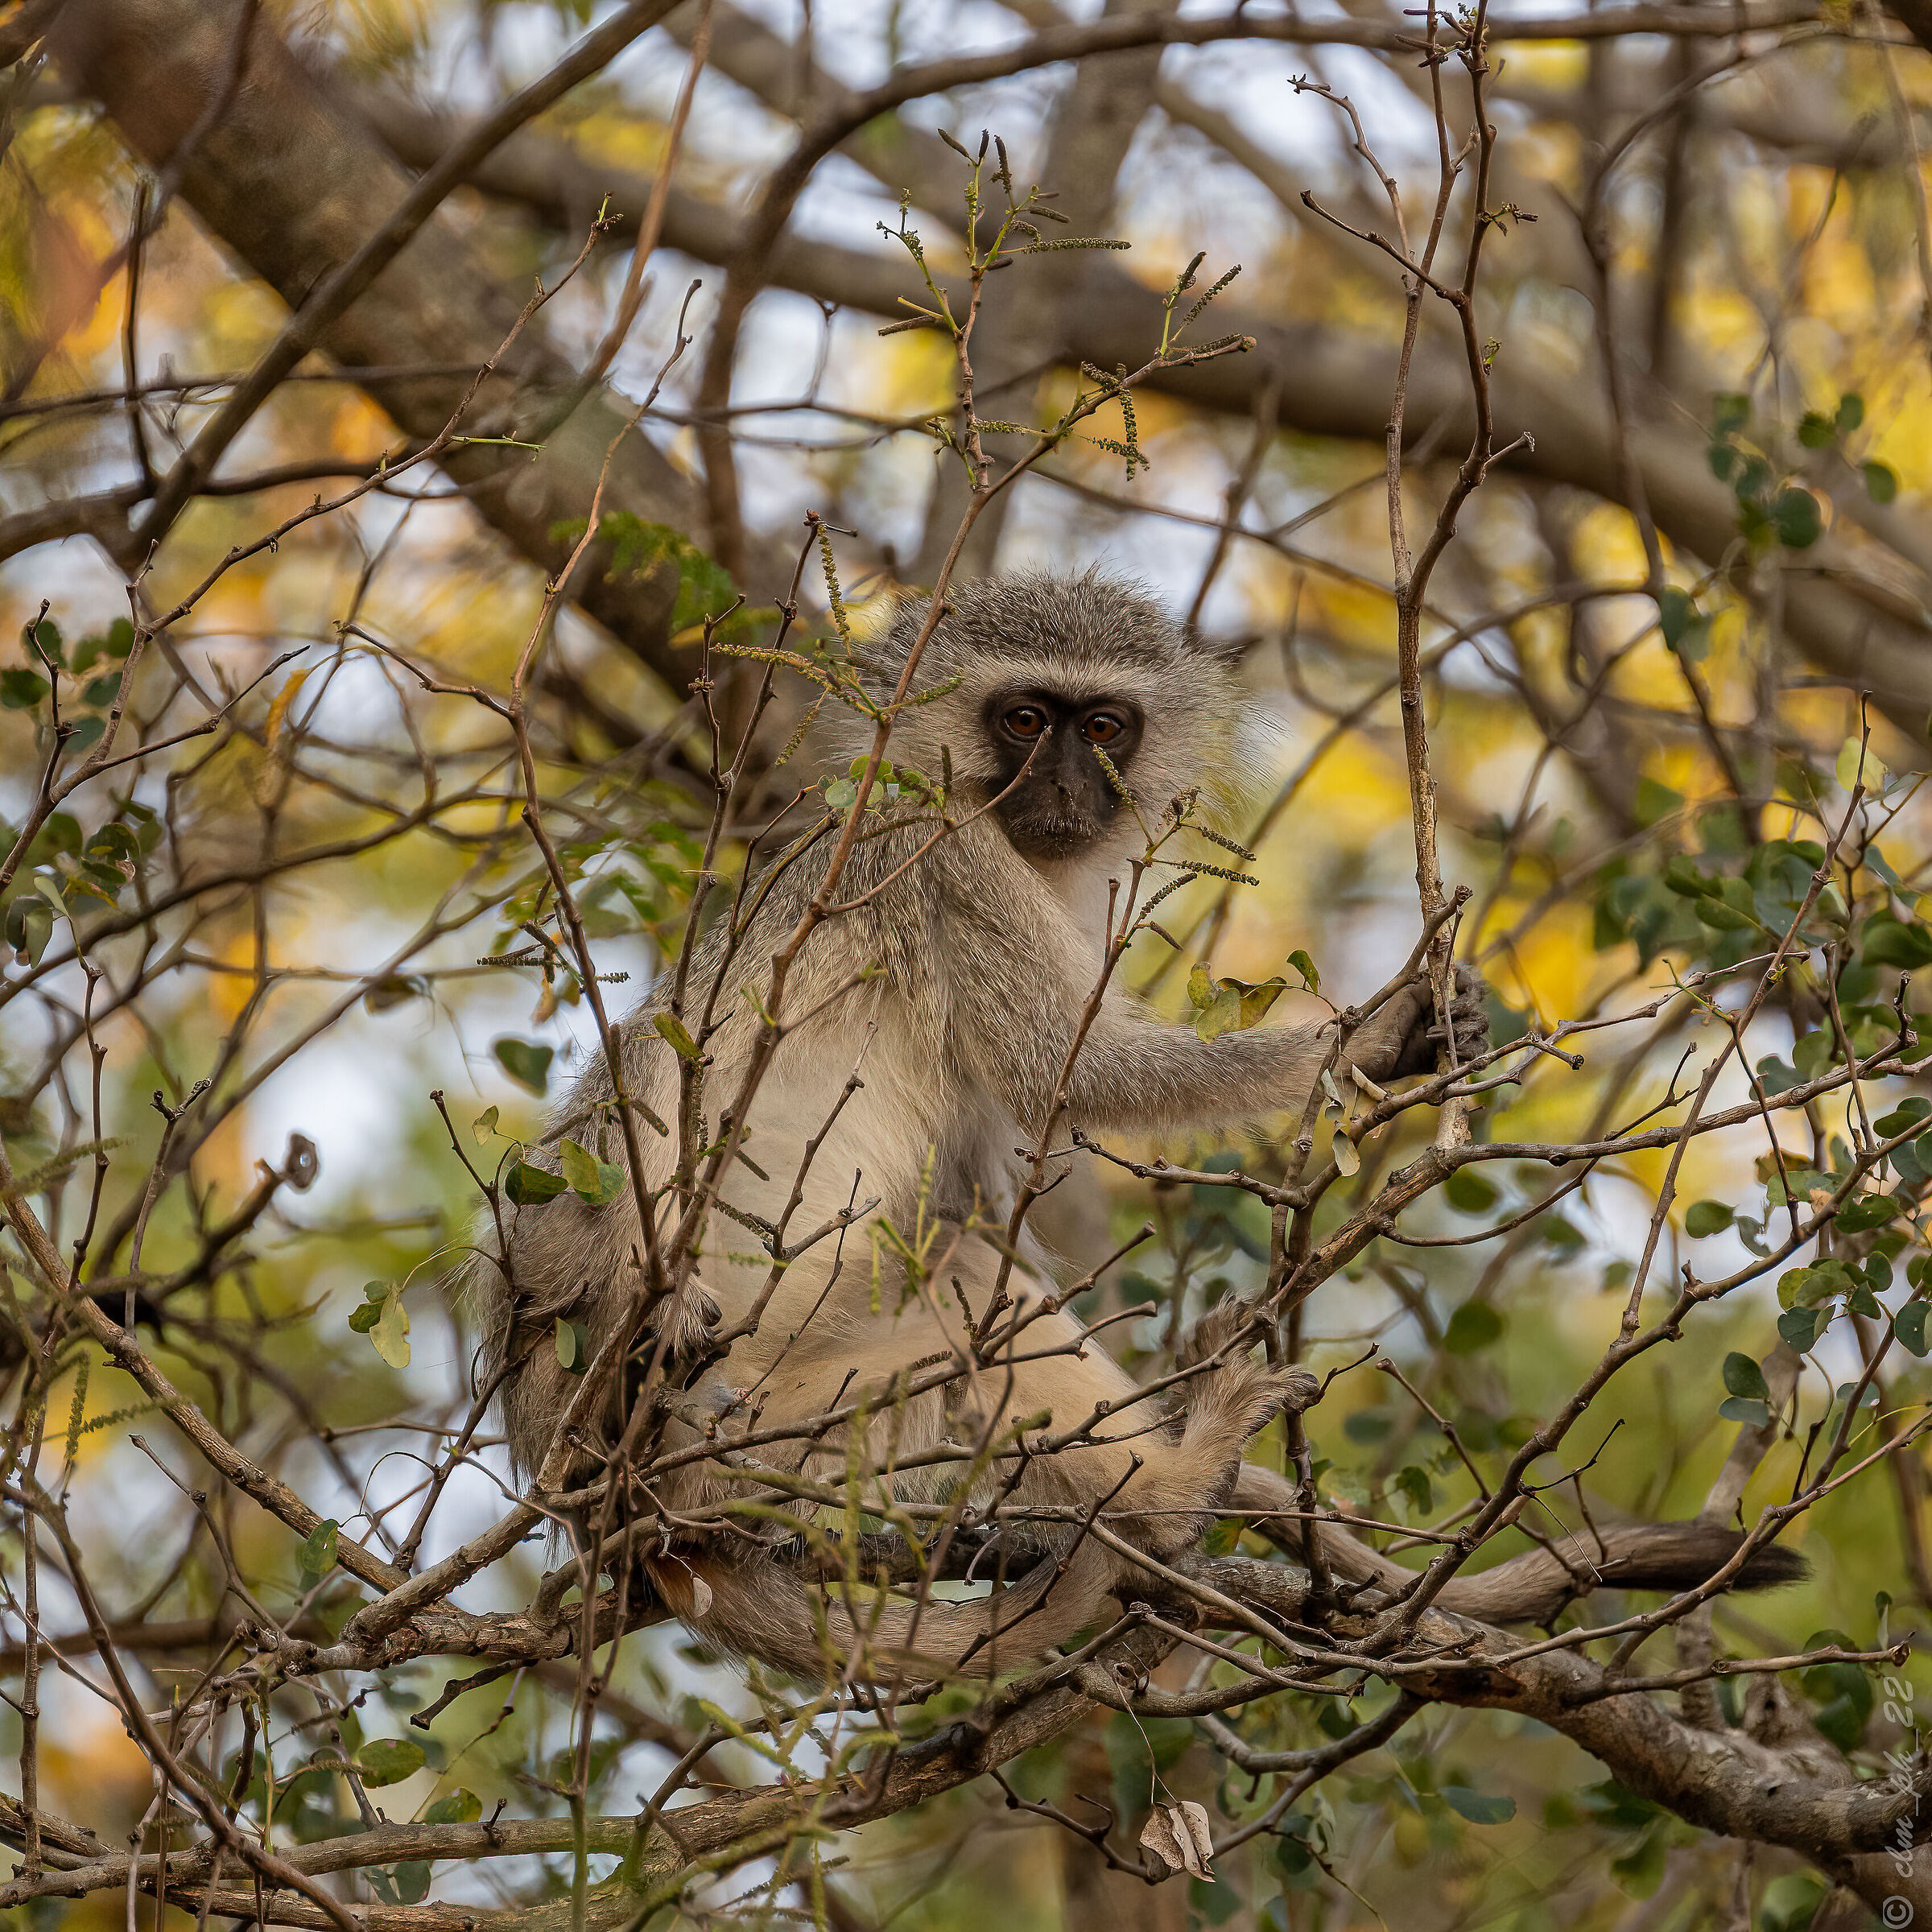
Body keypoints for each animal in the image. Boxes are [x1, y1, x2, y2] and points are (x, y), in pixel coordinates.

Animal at [471, 570, 1799, 1682]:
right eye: (1023, 719)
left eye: (1103, 727)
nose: (1068, 786)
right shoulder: (946, 852)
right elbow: (1086, 1070)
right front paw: (1374, 1039)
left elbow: (989, 1177)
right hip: (748, 1424)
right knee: (955, 1307)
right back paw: (1169, 1487)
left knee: (963, 1263)